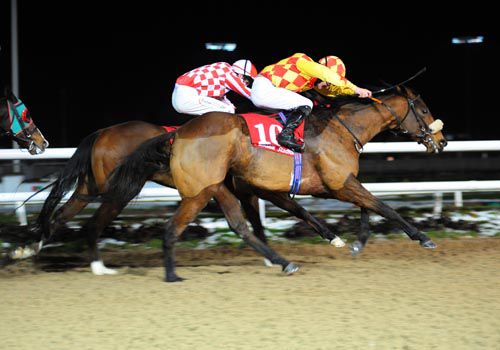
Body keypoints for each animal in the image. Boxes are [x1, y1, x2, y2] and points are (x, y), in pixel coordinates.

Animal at [106, 85, 450, 282]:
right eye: (423, 109)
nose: (442, 141)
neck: (342, 128)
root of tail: (178, 133)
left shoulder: (332, 184)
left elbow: (365, 206)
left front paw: (353, 241)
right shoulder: (337, 183)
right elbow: (383, 206)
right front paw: (423, 237)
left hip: (217, 187)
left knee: (240, 226)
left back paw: (282, 262)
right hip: (199, 192)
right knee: (173, 228)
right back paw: (171, 274)